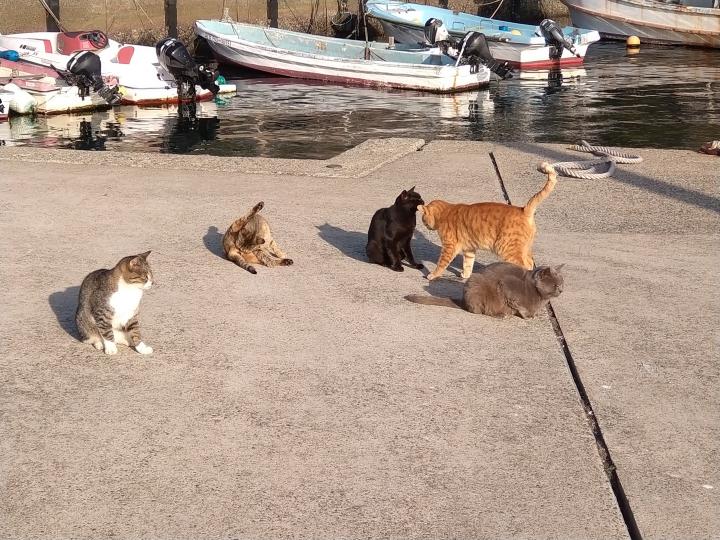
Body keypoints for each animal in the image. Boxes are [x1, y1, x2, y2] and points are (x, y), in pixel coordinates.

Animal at [404, 260, 564, 316]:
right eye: (555, 285)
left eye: (562, 283)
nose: (561, 290)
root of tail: (463, 301)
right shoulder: (507, 285)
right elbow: (518, 305)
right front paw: (528, 315)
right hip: (476, 285)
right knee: (481, 311)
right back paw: (501, 314)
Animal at [420, 162, 560, 280]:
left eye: (423, 219)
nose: (426, 226)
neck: (446, 212)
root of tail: (523, 209)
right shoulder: (469, 249)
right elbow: (468, 264)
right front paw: (465, 275)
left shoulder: (449, 247)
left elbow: (441, 264)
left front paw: (432, 275)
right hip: (524, 248)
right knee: (530, 263)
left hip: (506, 249)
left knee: (523, 265)